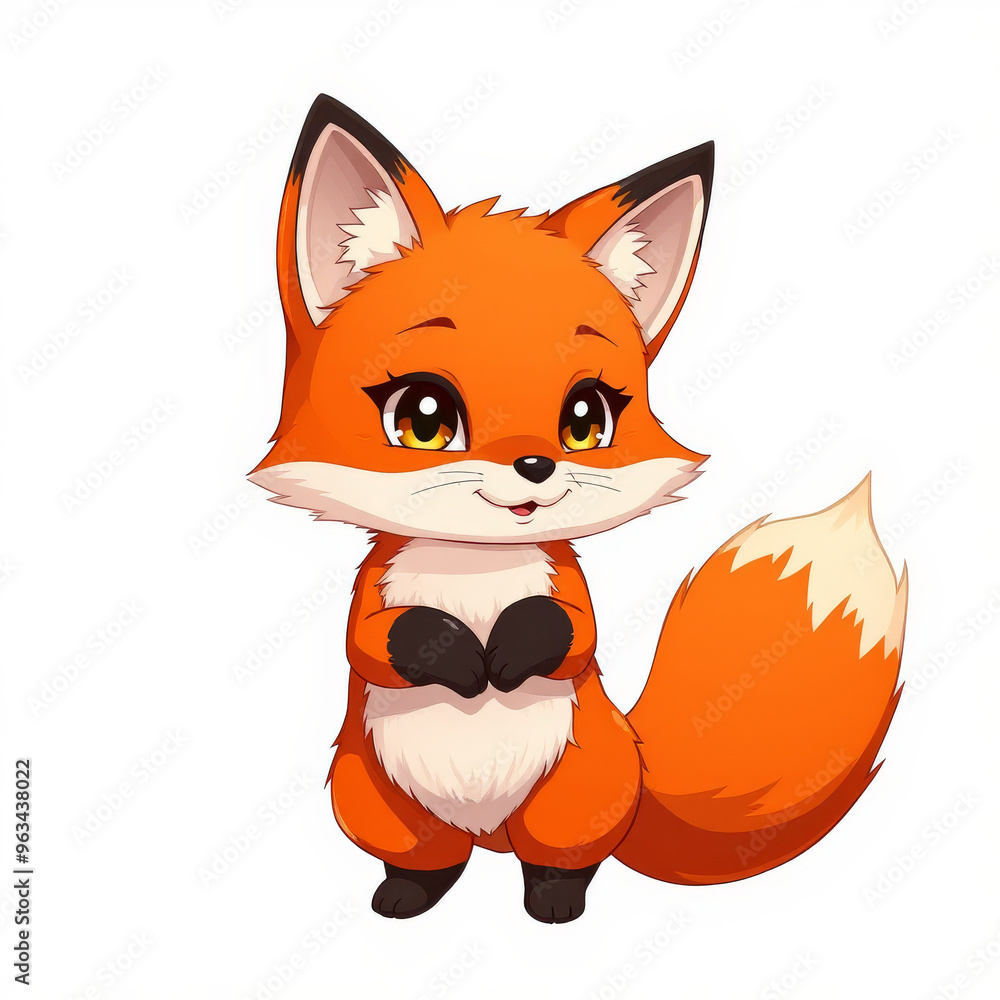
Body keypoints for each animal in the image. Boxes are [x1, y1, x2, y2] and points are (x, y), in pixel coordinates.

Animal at [249, 95, 908, 924]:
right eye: (424, 417)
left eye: (586, 418)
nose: (535, 465)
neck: (477, 569)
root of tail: (489, 834)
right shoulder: (375, 591)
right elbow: (375, 640)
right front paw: (459, 657)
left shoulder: (566, 587)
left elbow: (572, 633)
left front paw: (506, 653)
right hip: (375, 800)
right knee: (431, 862)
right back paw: (408, 894)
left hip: (573, 796)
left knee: (562, 862)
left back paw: (554, 901)